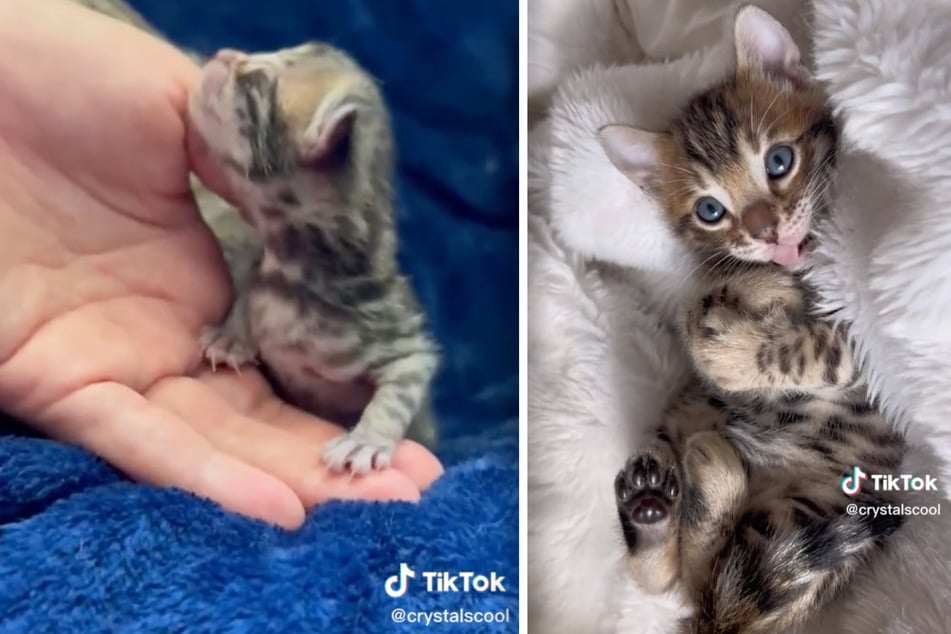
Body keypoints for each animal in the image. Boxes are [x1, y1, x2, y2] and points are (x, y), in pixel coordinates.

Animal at [188, 42, 440, 472]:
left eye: (256, 81)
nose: (225, 53)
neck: (290, 267)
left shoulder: (398, 340)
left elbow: (402, 385)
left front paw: (366, 439)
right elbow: (248, 294)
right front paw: (231, 336)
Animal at [600, 6, 904, 632]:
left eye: (779, 161)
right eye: (710, 210)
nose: (765, 232)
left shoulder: (870, 342)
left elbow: (816, 347)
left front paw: (732, 350)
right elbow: (716, 293)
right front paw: (750, 288)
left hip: (816, 513)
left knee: (714, 576)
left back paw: (702, 481)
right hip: (685, 426)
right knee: (679, 579)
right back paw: (653, 507)